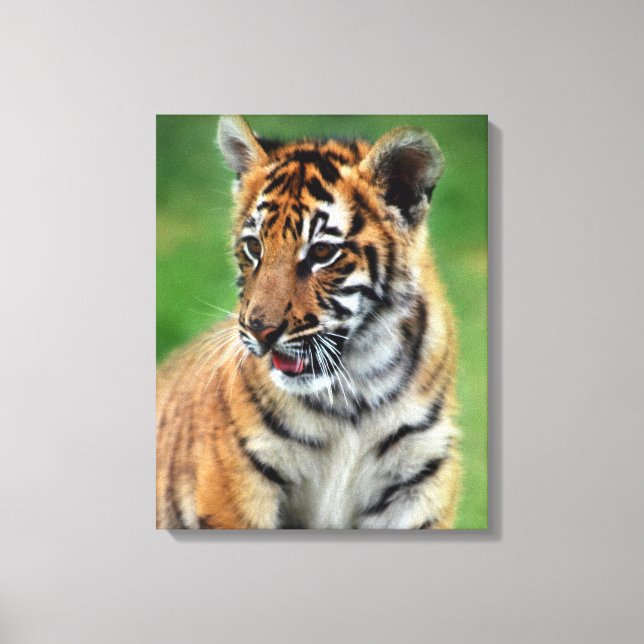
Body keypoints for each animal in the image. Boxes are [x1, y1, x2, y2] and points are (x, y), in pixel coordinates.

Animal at [156, 115, 460, 529]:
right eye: (254, 247)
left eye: (321, 252)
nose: (260, 331)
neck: (354, 397)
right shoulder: (235, 491)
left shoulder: (418, 480)